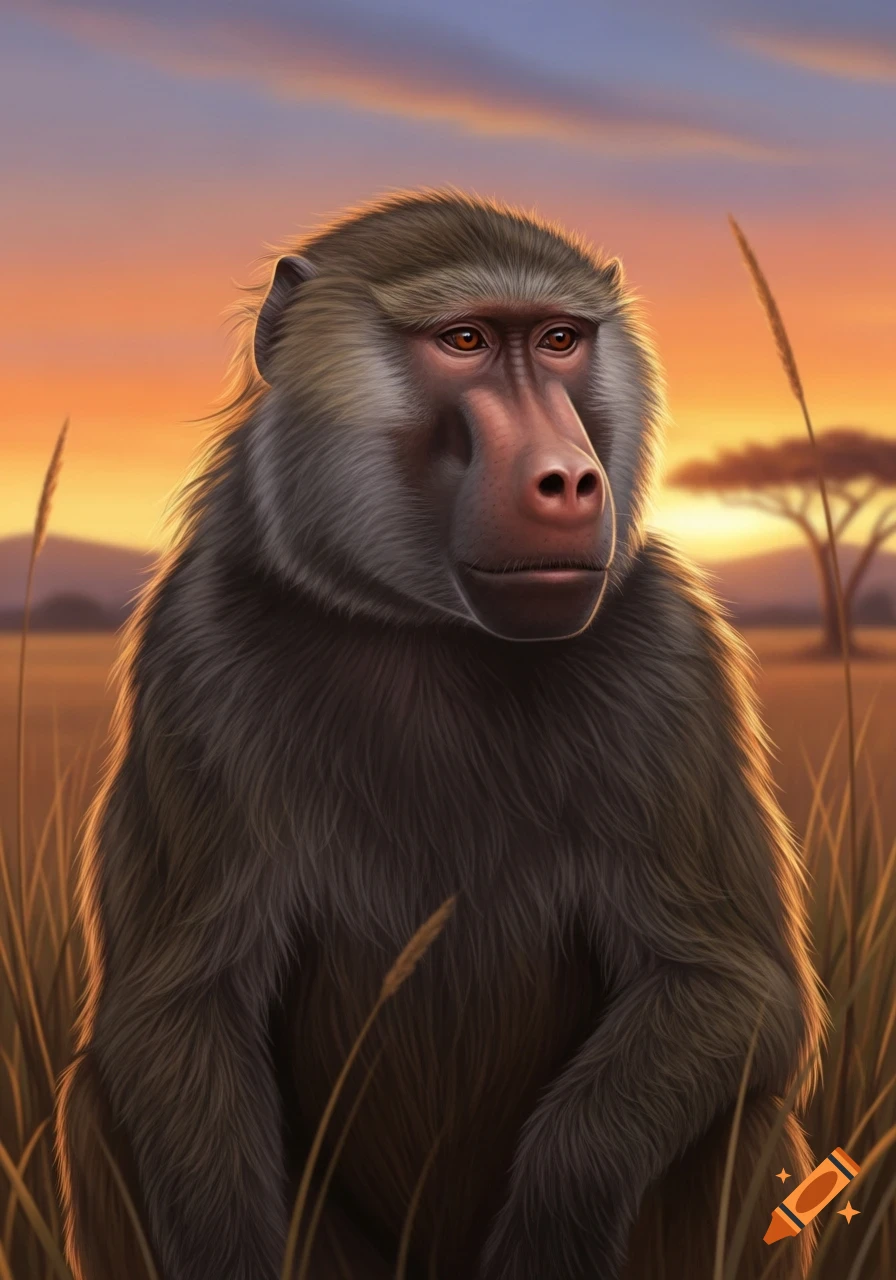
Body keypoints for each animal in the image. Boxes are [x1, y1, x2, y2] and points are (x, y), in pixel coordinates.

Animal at [55, 188, 826, 1280]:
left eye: (558, 339)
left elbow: (735, 985)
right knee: (95, 1099)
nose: (567, 478)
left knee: (747, 1115)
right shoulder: (190, 652)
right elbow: (175, 1007)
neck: (424, 628)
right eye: (464, 340)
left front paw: (551, 1228)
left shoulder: (674, 653)